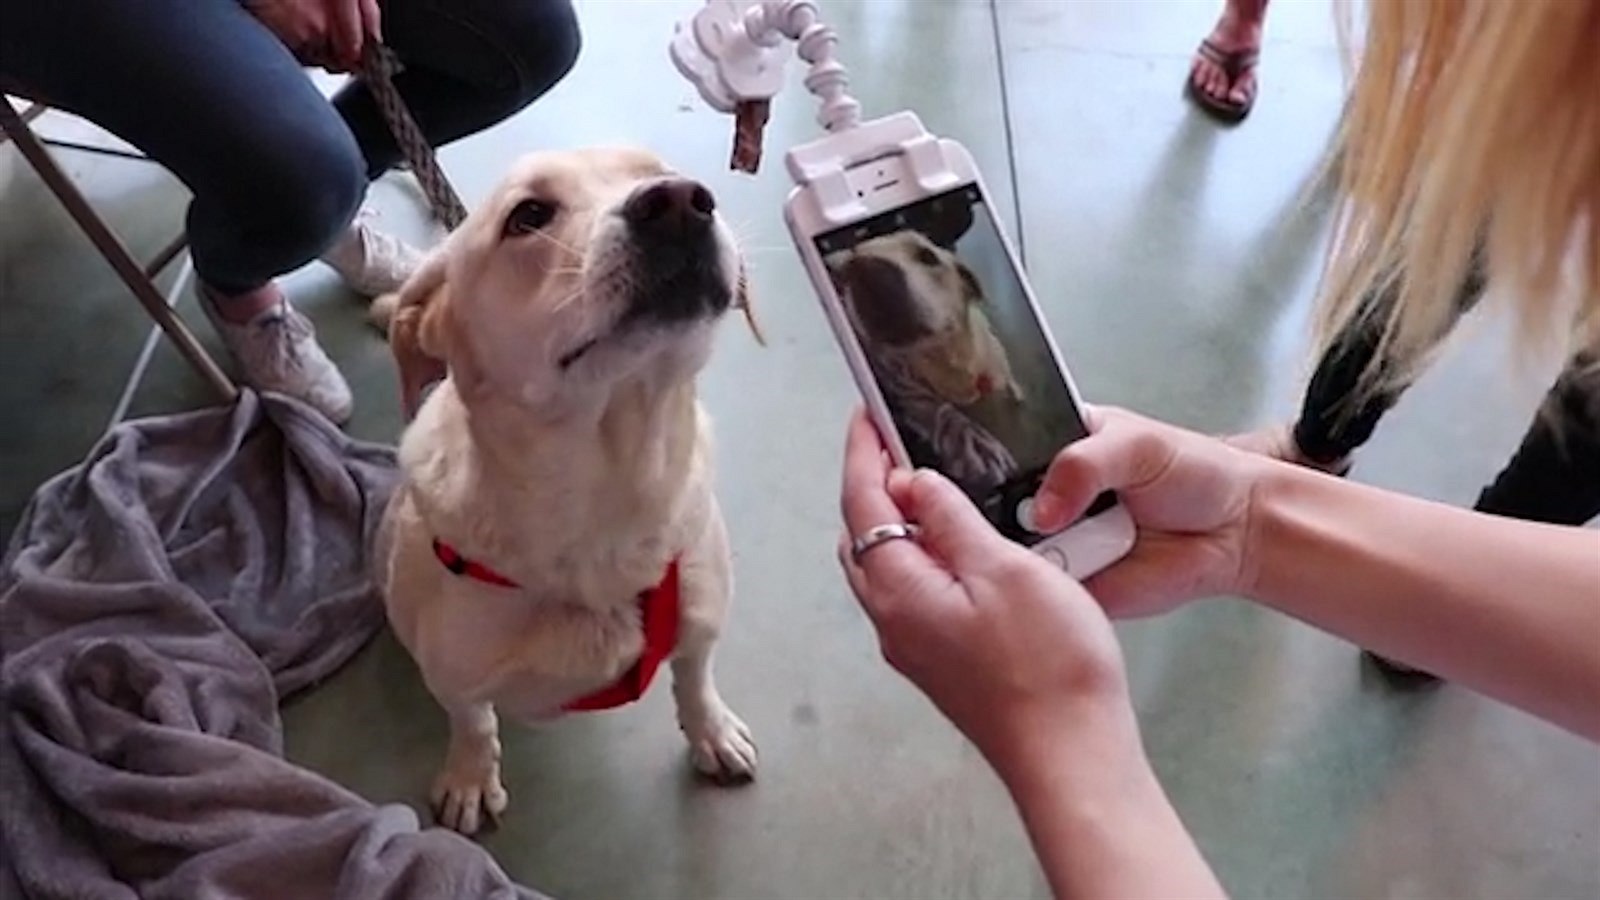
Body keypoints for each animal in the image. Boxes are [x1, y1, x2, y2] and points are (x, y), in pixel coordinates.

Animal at [371, 147, 760, 836]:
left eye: (657, 171)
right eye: (528, 216)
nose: (680, 201)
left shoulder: (703, 617)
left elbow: (694, 678)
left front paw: (710, 732)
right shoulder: (455, 675)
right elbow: (473, 723)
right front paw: (470, 778)